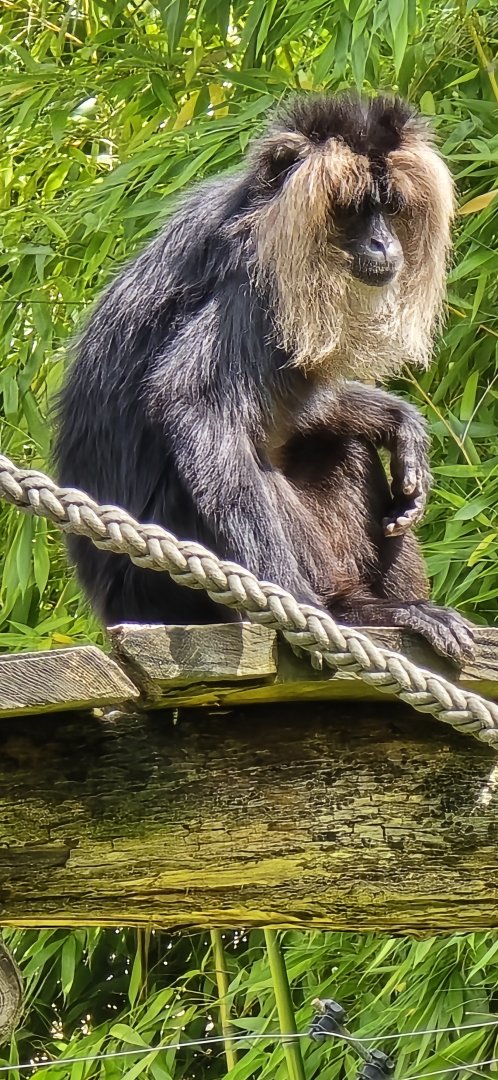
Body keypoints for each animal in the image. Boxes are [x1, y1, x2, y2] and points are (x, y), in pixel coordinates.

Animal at [54, 91, 474, 663]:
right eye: (352, 210)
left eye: (388, 208)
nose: (383, 245)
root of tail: (115, 609)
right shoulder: (255, 281)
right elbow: (193, 404)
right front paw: (304, 605)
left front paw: (398, 421)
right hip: (168, 587)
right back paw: (358, 609)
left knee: (341, 446)